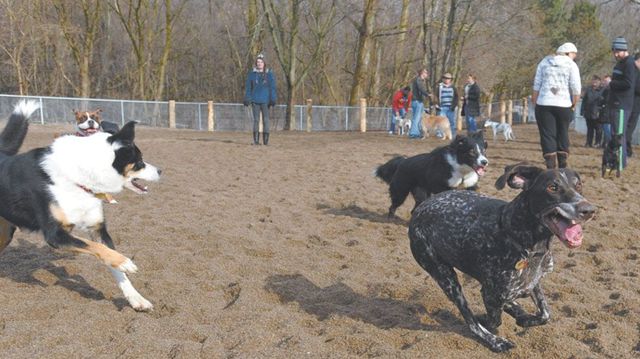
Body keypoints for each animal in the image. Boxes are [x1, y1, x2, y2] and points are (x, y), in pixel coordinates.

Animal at [0, 101, 159, 312]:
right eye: (139, 161)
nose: (160, 170)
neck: (79, 177)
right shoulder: (55, 235)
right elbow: (95, 248)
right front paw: (124, 261)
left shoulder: (97, 227)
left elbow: (112, 262)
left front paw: (136, 299)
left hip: (5, 232)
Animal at [410, 164, 596, 354]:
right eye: (553, 187)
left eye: (578, 185)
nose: (589, 210)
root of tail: (422, 206)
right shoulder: (490, 294)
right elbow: (493, 321)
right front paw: (491, 322)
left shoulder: (533, 282)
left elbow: (545, 314)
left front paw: (522, 316)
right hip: (445, 277)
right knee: (470, 320)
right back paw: (495, 341)